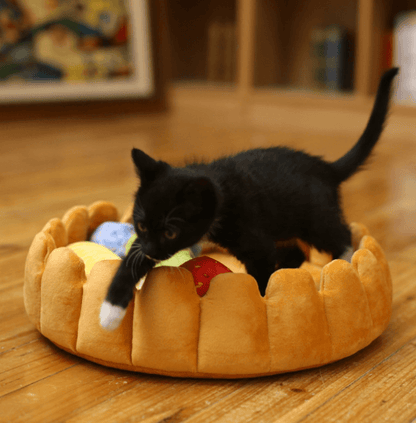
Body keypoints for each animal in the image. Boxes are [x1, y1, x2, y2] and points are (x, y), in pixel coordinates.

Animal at [99, 68, 398, 332]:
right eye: (141, 226)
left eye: (171, 232)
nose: (150, 250)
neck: (218, 191)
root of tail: (325, 167)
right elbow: (130, 261)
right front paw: (110, 311)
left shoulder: (255, 239)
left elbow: (261, 273)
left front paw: (263, 303)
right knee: (297, 251)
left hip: (316, 217)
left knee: (339, 235)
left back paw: (342, 260)